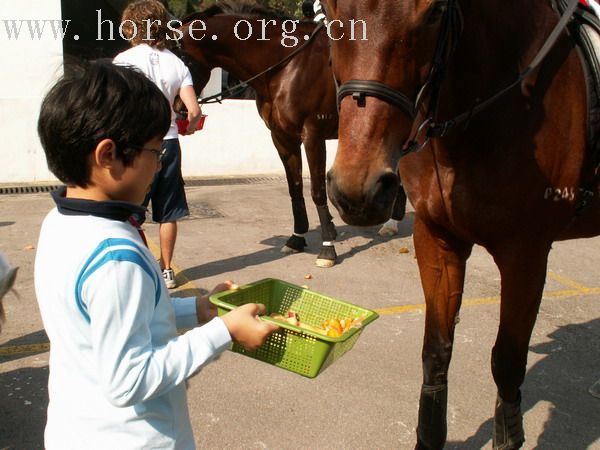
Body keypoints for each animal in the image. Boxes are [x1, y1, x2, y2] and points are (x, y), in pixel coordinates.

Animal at [176, 1, 406, 268]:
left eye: (181, 59)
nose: (179, 110)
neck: (286, 67)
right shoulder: (282, 137)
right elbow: (294, 188)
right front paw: (297, 238)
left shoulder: (313, 136)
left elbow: (317, 190)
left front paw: (327, 248)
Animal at [324, 0, 600, 448]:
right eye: (331, 13)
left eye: (434, 12)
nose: (359, 191)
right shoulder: (439, 240)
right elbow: (436, 352)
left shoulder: (526, 254)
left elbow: (507, 361)